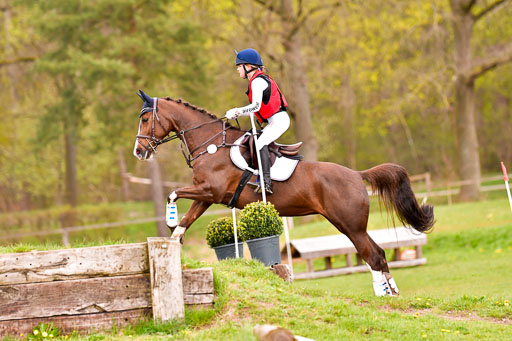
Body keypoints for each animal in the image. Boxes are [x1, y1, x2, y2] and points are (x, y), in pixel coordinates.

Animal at [132, 89, 432, 294]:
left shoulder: (209, 190)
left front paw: (170, 222)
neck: (212, 145)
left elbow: (173, 194)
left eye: (145, 119)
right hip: (349, 225)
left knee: (373, 255)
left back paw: (385, 296)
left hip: (350, 225)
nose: (139, 151)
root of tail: (357, 175)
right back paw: (390, 293)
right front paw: (175, 239)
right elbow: (188, 217)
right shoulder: (206, 195)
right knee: (377, 254)